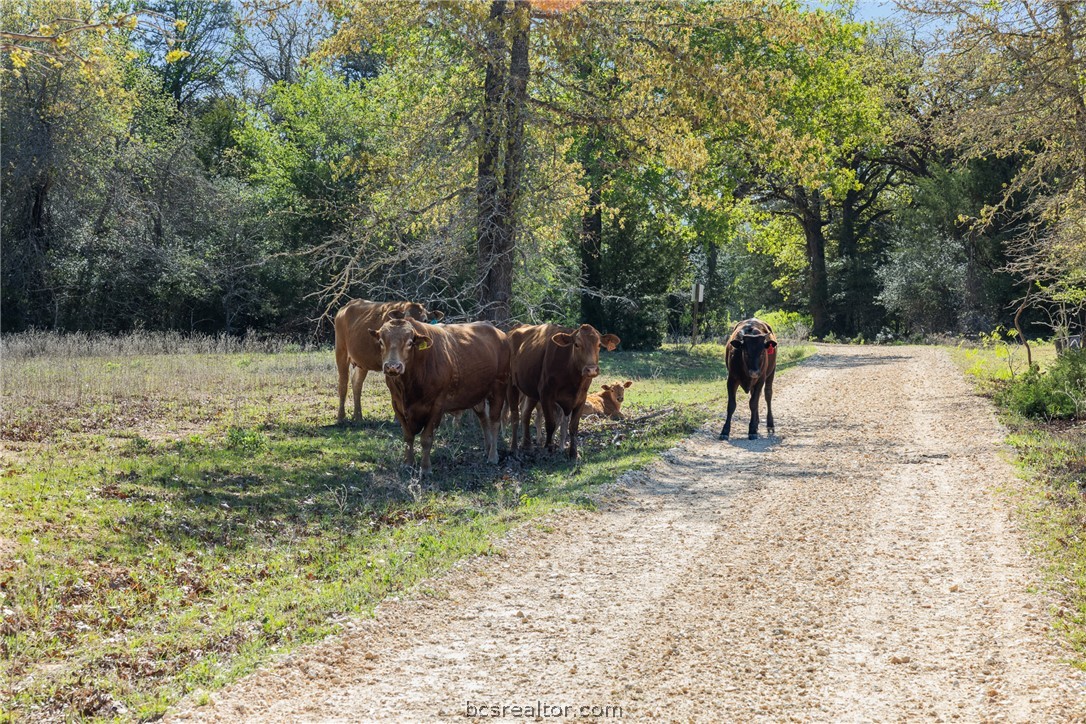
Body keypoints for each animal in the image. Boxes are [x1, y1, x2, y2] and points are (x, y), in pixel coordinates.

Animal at [370, 316, 508, 476]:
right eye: (381, 342)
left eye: (410, 343)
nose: (392, 367)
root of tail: (498, 332)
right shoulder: (397, 404)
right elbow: (408, 436)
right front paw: (408, 463)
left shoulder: (437, 406)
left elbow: (426, 438)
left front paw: (425, 468)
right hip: (477, 394)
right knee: (484, 420)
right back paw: (488, 447)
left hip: (499, 388)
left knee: (494, 422)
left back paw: (493, 455)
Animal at [507, 323, 620, 459]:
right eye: (576, 344)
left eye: (599, 344)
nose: (592, 369)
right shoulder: (546, 395)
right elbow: (550, 424)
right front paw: (548, 449)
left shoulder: (581, 398)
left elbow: (573, 427)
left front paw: (573, 453)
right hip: (511, 384)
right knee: (515, 415)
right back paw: (514, 448)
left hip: (531, 392)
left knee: (525, 413)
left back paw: (527, 445)